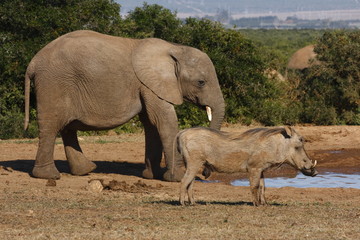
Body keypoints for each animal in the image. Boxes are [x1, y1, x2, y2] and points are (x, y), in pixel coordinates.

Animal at [23, 29, 224, 181]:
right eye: (201, 82)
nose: (205, 174)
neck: (174, 48)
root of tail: (33, 63)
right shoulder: (150, 84)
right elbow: (164, 121)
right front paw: (176, 178)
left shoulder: (145, 85)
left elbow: (151, 124)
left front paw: (151, 176)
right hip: (54, 83)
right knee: (52, 126)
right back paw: (49, 176)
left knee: (67, 127)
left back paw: (85, 171)